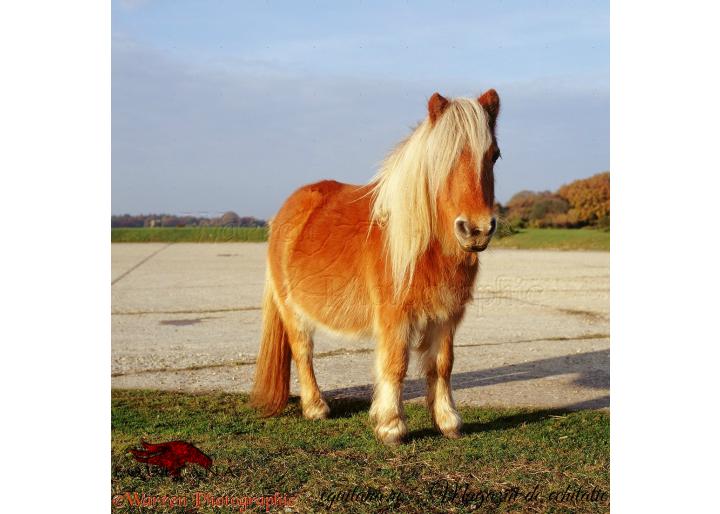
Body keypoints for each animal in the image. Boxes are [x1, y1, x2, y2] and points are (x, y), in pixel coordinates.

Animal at [252, 90, 500, 442]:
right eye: (441, 159)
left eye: (494, 156)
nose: (476, 229)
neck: (421, 247)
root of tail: (288, 209)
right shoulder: (394, 317)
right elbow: (395, 364)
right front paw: (391, 426)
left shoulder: (446, 316)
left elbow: (443, 364)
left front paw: (448, 421)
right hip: (293, 310)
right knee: (303, 352)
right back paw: (316, 408)